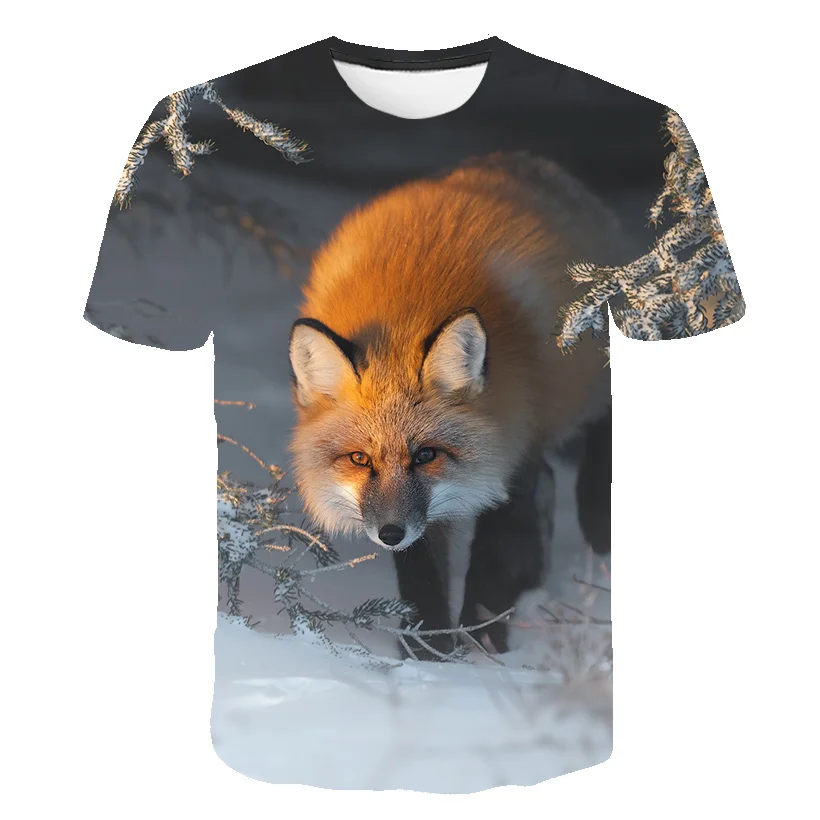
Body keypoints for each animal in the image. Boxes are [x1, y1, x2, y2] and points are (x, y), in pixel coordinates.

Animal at [287, 152, 625, 658]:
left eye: (426, 455)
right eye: (360, 459)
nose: (388, 534)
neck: (405, 307)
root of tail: (527, 161)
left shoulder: (510, 452)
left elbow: (494, 560)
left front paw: (481, 645)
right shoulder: (424, 514)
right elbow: (423, 575)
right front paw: (429, 652)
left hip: (577, 389)